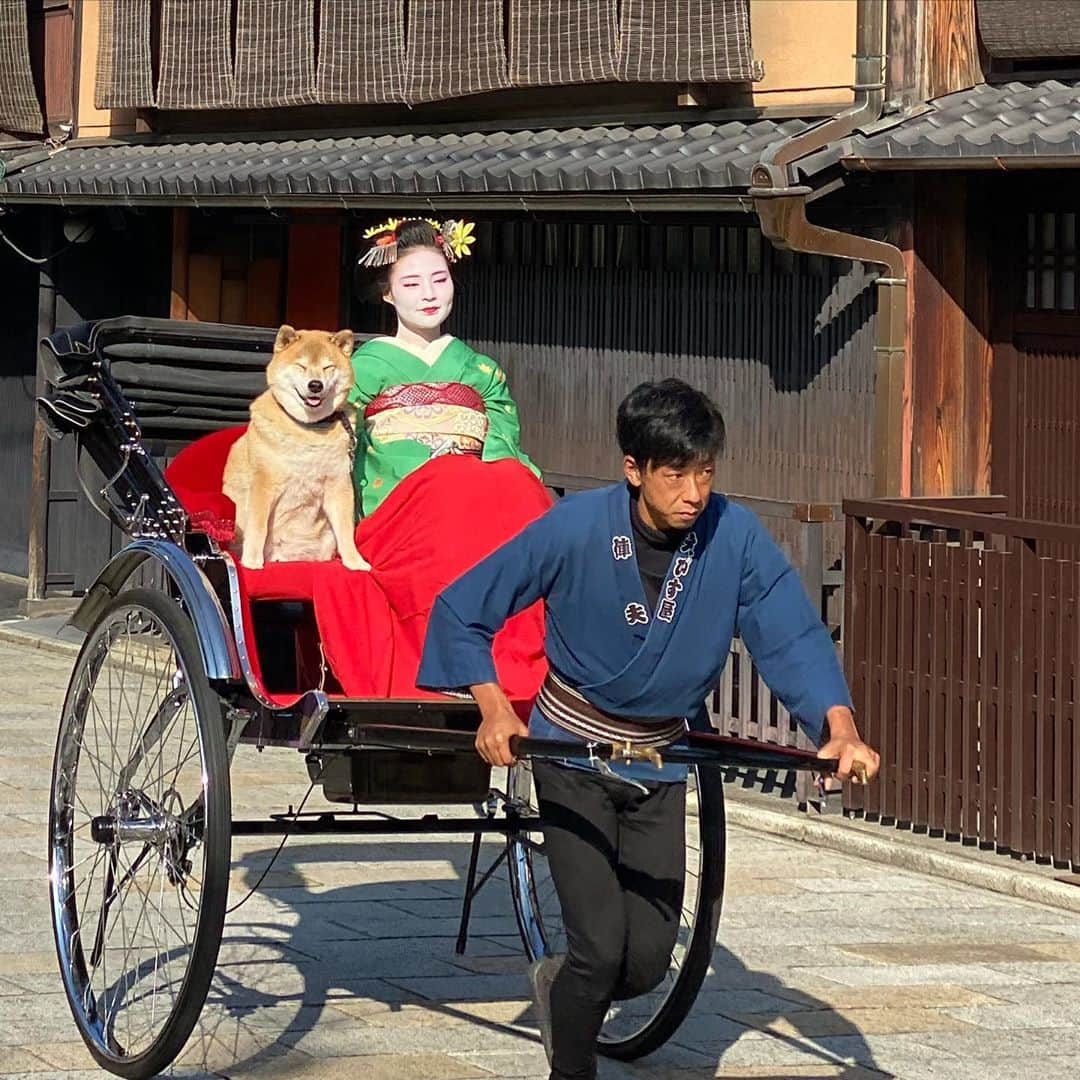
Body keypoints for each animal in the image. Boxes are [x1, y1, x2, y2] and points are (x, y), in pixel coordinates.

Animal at [221, 321, 369, 570]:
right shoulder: (263, 483)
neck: (308, 429)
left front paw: (355, 562)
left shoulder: (339, 484)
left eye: (328, 367)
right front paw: (251, 561)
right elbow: (258, 527)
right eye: (301, 366)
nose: (315, 385)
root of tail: (283, 557)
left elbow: (346, 530)